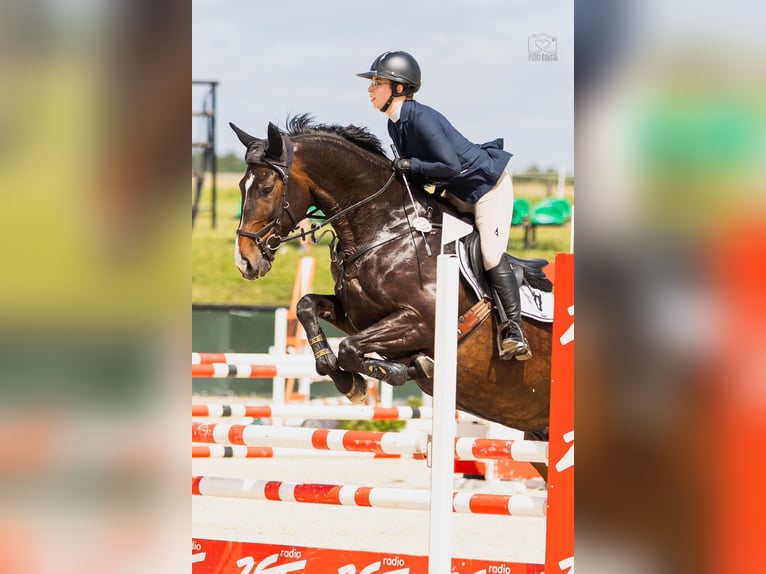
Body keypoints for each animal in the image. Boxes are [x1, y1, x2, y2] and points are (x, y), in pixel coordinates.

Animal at [231, 115, 556, 480]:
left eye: (266, 188)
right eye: (242, 185)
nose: (244, 261)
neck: (385, 232)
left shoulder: (420, 323)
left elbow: (351, 349)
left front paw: (402, 370)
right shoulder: (358, 317)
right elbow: (308, 308)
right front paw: (350, 382)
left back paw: (512, 339)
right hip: (536, 439)